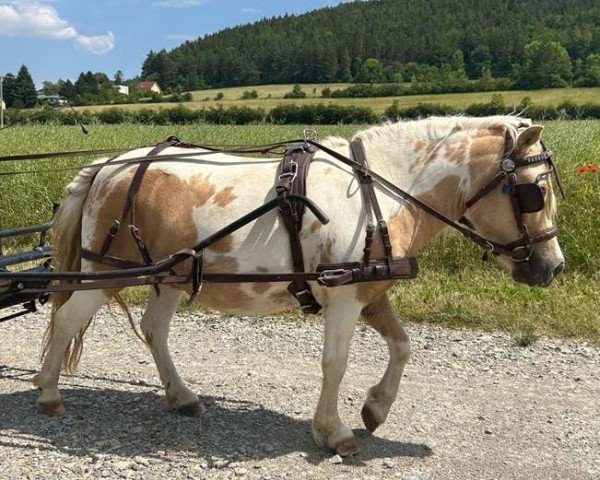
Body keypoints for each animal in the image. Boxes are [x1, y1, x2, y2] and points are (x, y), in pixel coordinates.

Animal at [35, 115, 564, 454]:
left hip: (169, 273)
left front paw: (376, 408)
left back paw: (182, 397)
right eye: (534, 192)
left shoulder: (370, 291)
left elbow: (402, 346)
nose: (553, 267)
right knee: (66, 320)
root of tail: (106, 167)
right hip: (103, 273)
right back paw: (48, 393)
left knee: (153, 329)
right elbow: (336, 363)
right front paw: (333, 432)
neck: (381, 190)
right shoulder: (345, 297)